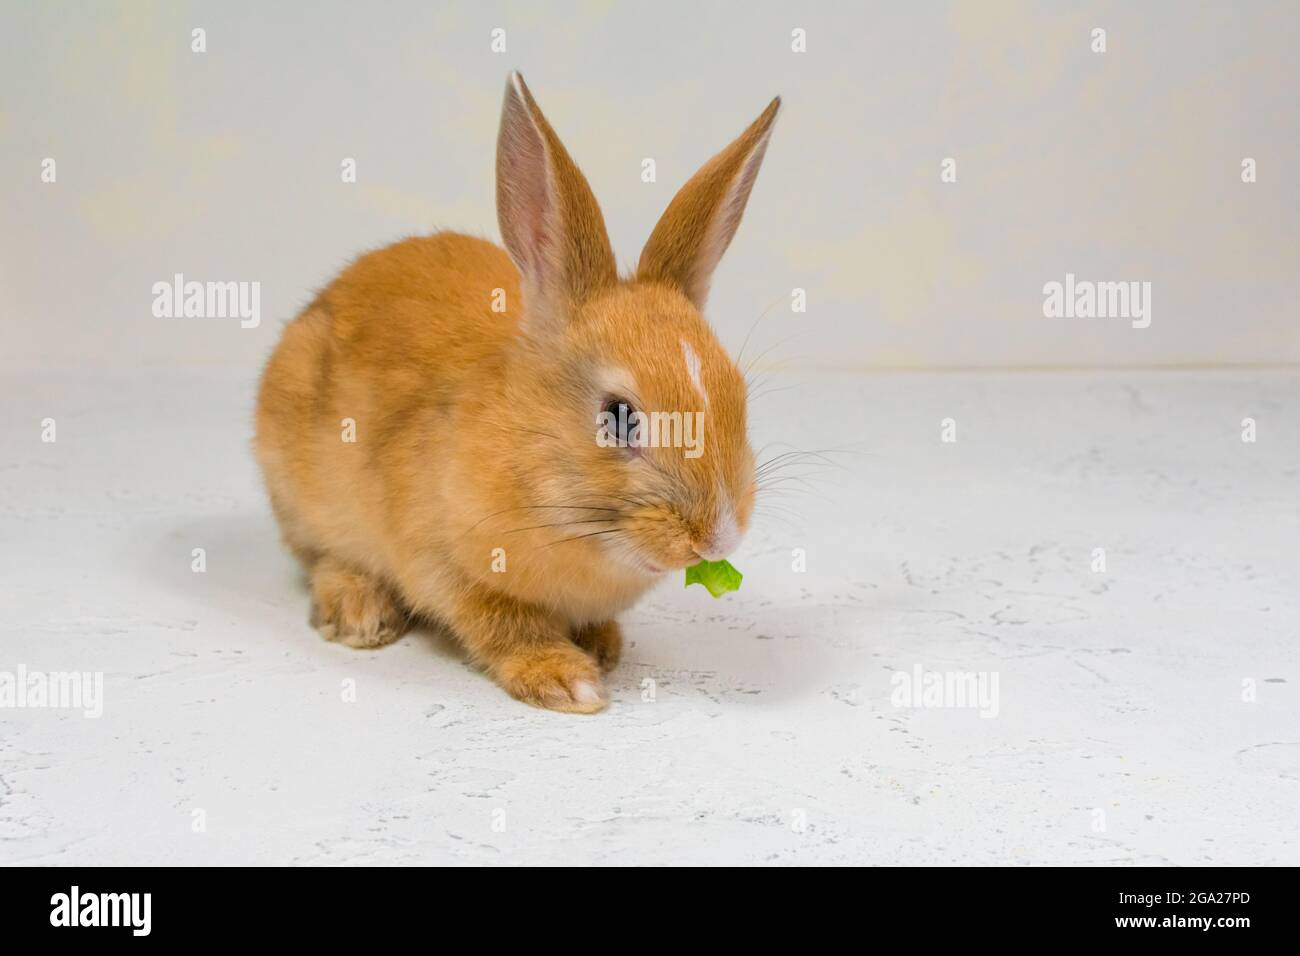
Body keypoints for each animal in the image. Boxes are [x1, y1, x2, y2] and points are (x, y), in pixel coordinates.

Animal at [255, 72, 779, 713]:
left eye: (739, 397)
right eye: (620, 416)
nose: (718, 535)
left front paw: (603, 645)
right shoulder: (446, 566)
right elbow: (501, 624)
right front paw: (569, 681)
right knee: (320, 558)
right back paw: (358, 614)